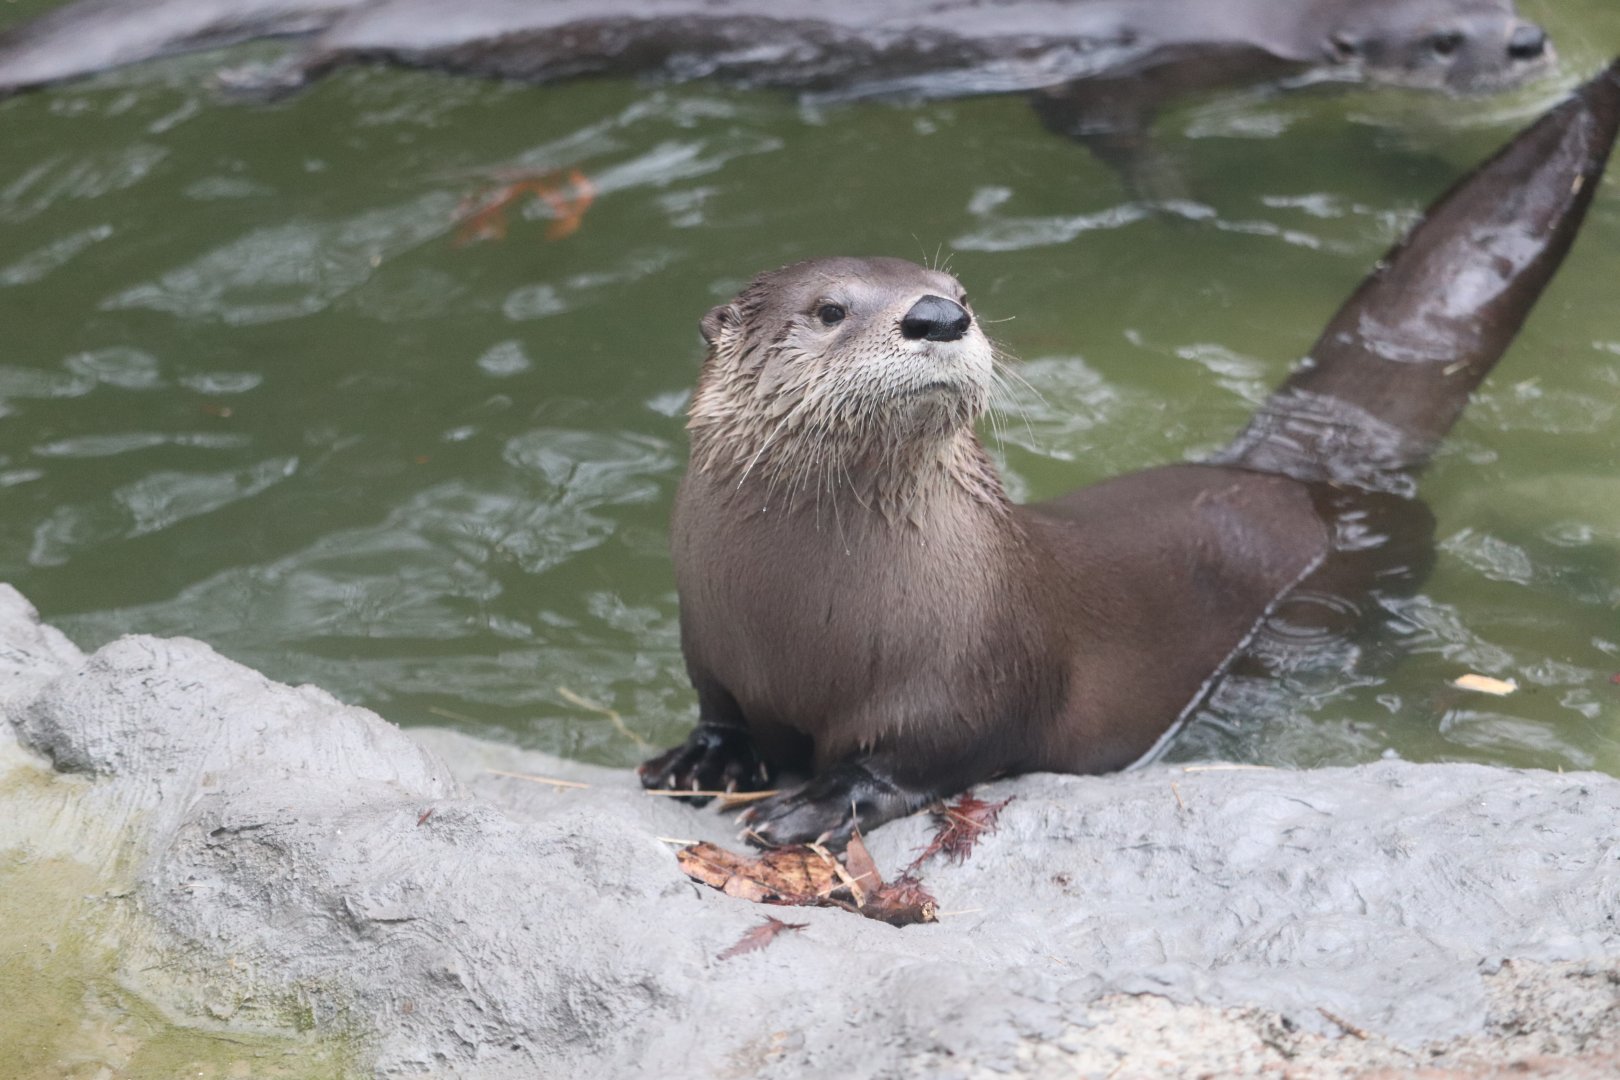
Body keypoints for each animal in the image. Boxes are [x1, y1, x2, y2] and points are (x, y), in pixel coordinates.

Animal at [637, 61, 1620, 846]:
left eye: (962, 291)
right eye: (831, 309)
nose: (939, 316)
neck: (807, 614)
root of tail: (1294, 471)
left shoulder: (974, 670)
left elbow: (926, 756)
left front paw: (819, 801)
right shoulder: (707, 634)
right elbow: (720, 707)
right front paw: (701, 757)